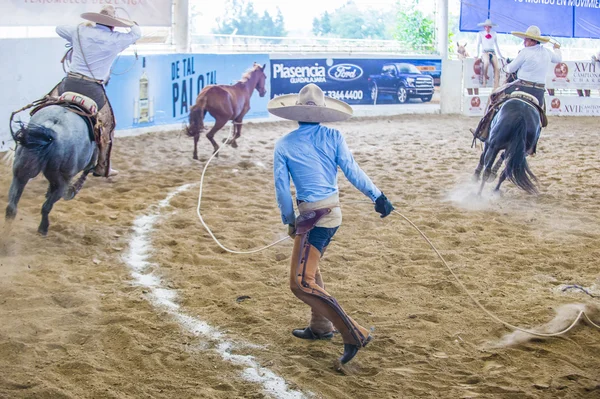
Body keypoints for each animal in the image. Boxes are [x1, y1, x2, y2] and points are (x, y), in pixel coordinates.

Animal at [6, 106, 96, 236]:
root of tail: (52, 129)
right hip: (61, 181)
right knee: (47, 206)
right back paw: (43, 228)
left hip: (21, 171)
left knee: (12, 206)